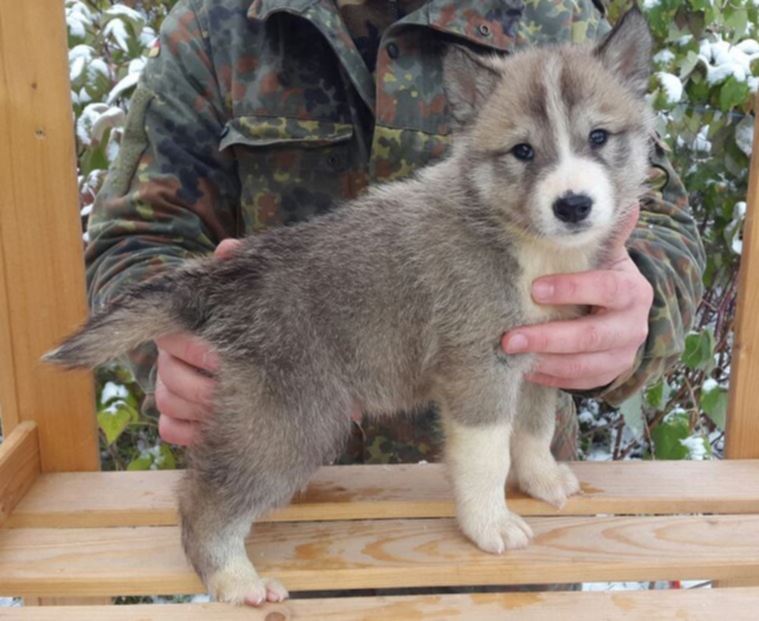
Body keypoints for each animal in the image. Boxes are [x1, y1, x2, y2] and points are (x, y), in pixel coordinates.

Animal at [47, 7, 652, 604]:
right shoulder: (477, 368)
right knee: (203, 500)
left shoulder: (539, 356)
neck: (524, 240)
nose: (573, 205)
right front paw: (491, 526)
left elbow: (532, 428)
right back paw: (235, 581)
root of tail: (225, 280)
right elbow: (486, 455)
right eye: (522, 151)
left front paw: (542, 479)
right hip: (292, 421)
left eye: (599, 136)